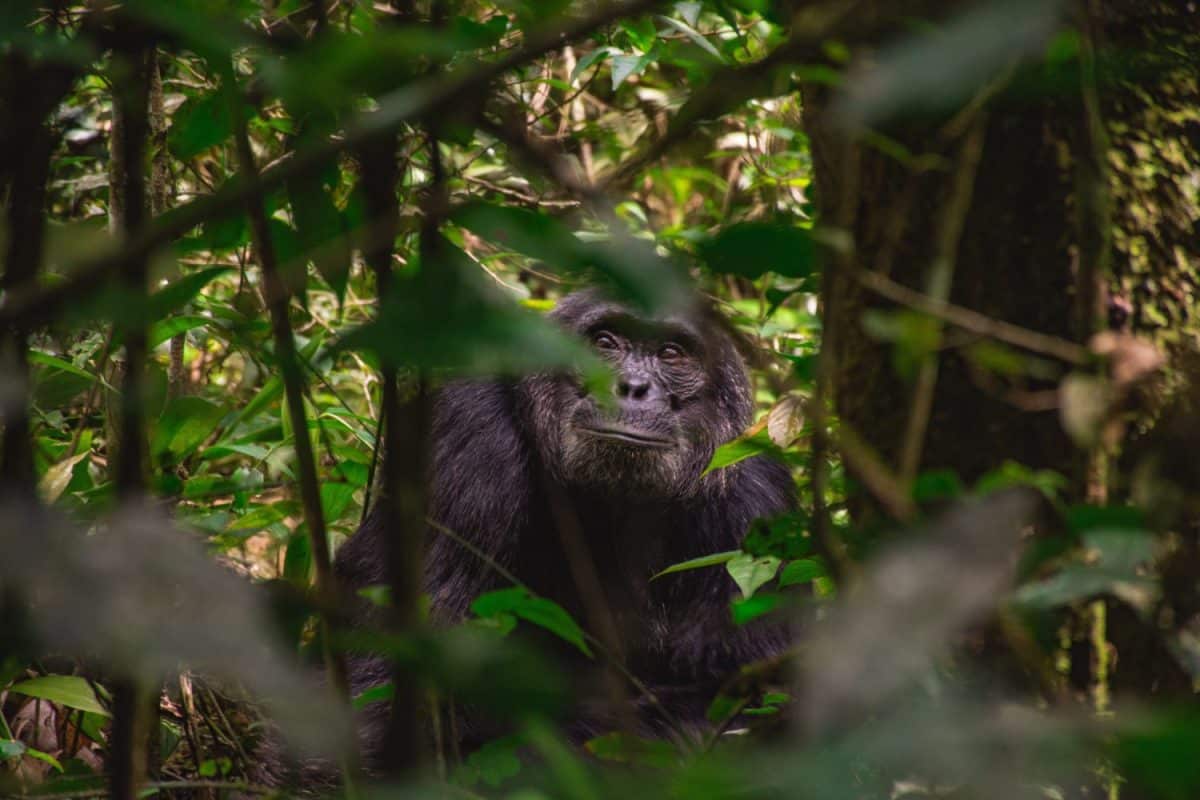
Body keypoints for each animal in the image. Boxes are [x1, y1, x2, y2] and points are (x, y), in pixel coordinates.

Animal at [331, 289, 796, 767]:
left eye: (671, 353)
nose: (632, 386)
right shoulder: (466, 438)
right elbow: (399, 693)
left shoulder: (758, 502)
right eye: (605, 342)